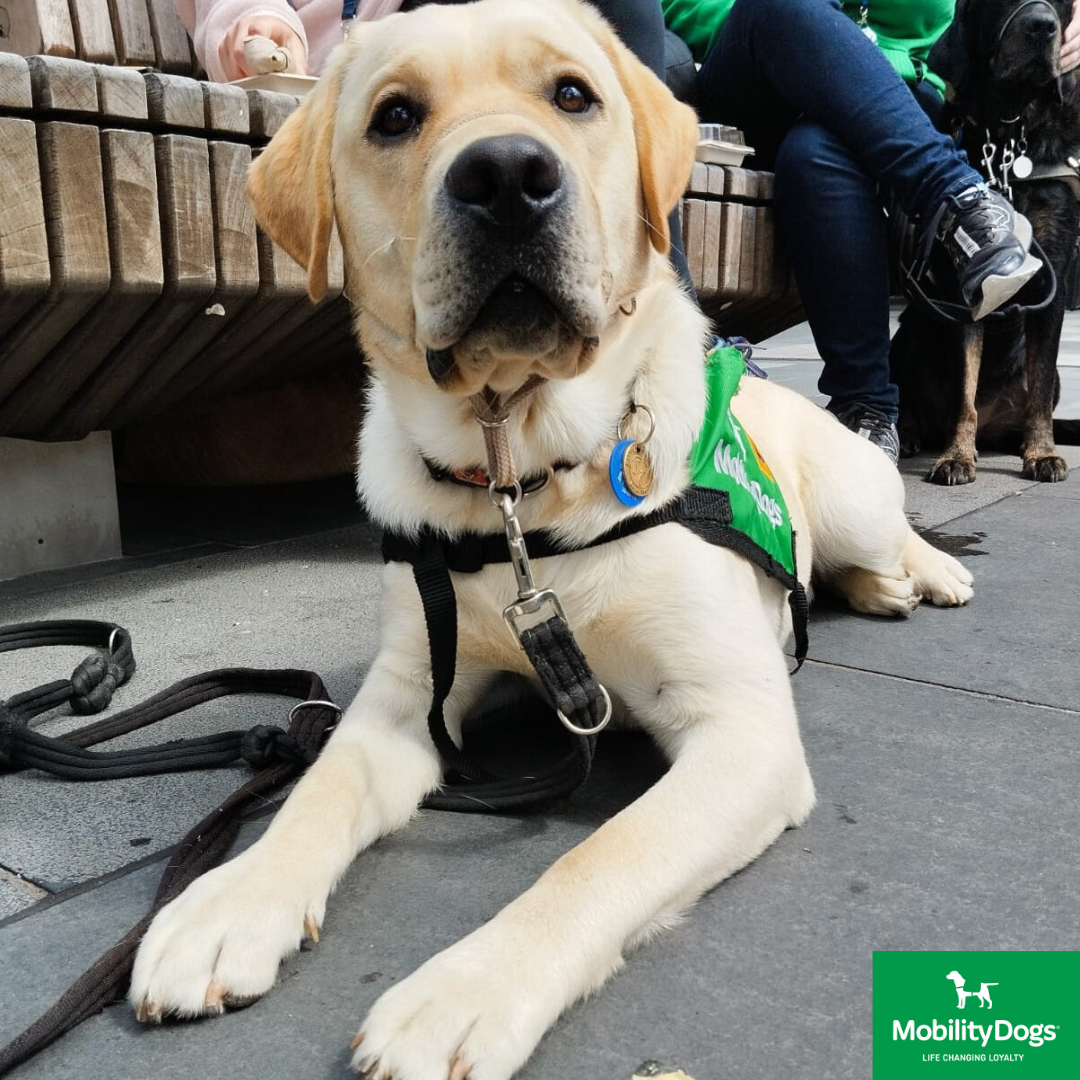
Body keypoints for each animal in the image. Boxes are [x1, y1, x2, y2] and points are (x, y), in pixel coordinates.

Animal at [126, 4, 972, 1075]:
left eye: (573, 95)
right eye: (394, 116)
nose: (505, 176)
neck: (523, 482)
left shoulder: (741, 732)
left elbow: (598, 856)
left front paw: (463, 992)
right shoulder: (407, 698)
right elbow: (317, 790)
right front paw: (227, 905)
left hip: (852, 488)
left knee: (883, 530)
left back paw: (923, 574)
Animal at [894, 0, 1080, 486]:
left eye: (1061, 5)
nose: (1042, 27)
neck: (1009, 137)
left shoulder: (1054, 282)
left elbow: (1039, 385)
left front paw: (1041, 452)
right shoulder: (965, 294)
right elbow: (966, 390)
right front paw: (957, 456)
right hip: (908, 333)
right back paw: (912, 434)